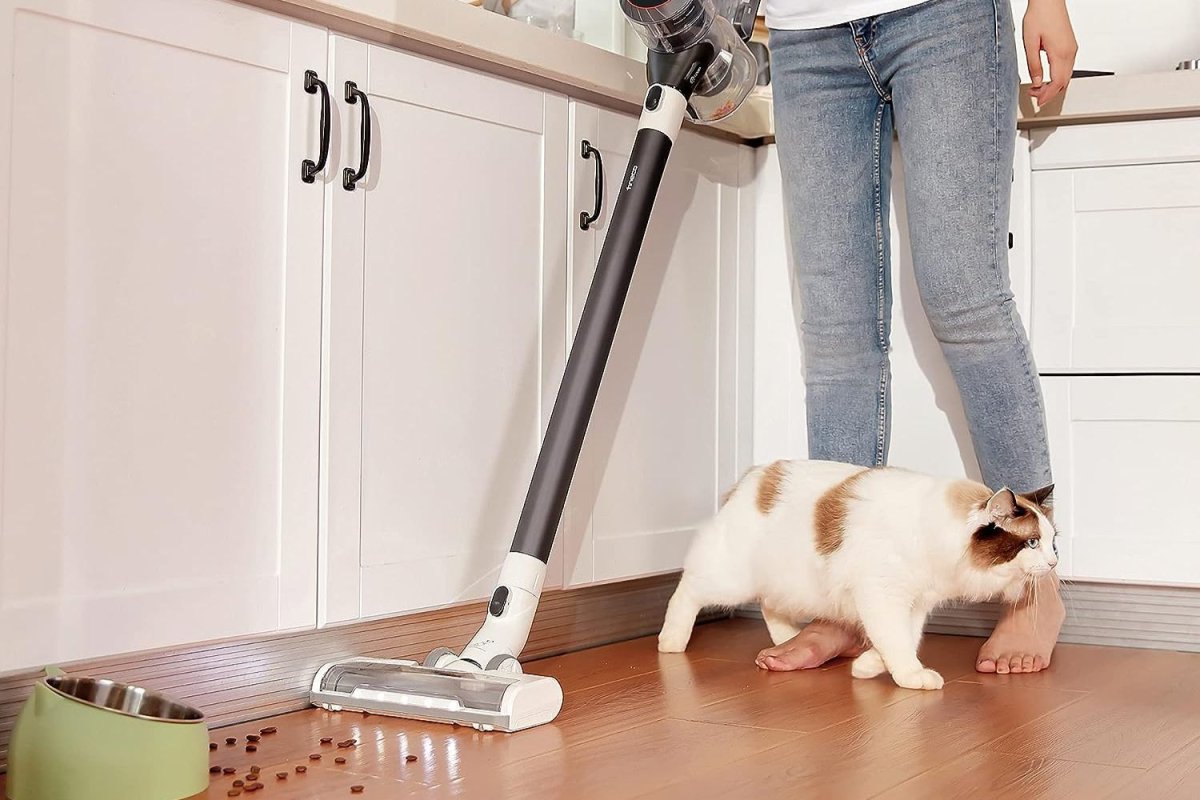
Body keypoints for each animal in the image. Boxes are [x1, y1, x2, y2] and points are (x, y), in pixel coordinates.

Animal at [657, 460, 1060, 690]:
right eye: (1032, 543)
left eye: (1053, 541)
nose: (1055, 563)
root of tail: (753, 477)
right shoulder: (883, 595)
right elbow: (895, 640)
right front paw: (911, 676)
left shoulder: (915, 602)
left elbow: (905, 638)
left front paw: (868, 666)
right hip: (731, 578)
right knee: (687, 590)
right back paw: (671, 640)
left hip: (789, 581)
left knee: (771, 606)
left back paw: (786, 645)